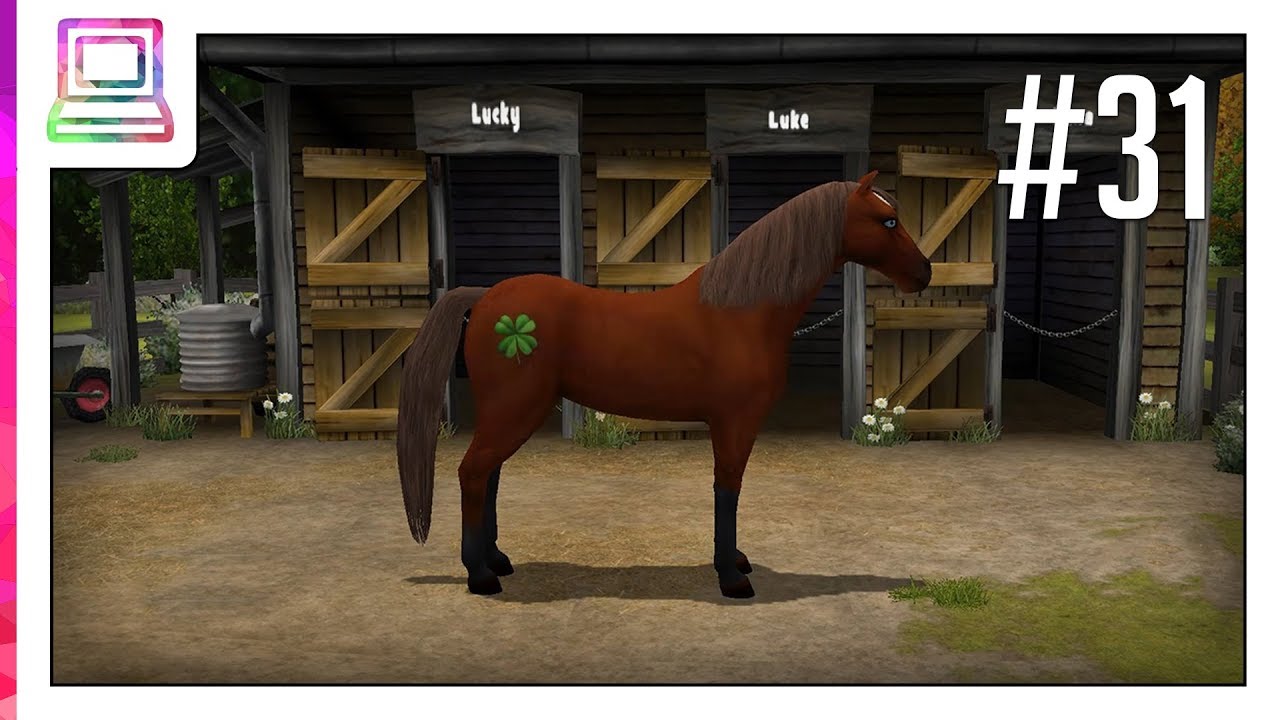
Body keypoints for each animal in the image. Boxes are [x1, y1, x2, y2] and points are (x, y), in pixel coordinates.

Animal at [397, 171, 932, 599]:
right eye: (887, 222)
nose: (924, 274)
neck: (741, 313)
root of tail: (487, 298)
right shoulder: (734, 421)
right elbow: (727, 488)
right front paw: (732, 578)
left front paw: (736, 562)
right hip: (515, 409)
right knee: (473, 473)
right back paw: (480, 577)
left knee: (488, 476)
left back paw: (498, 560)